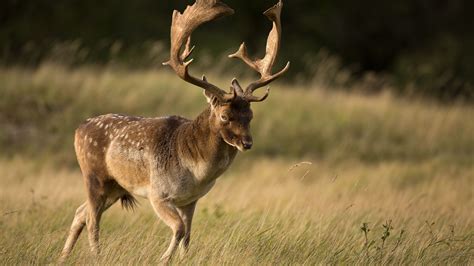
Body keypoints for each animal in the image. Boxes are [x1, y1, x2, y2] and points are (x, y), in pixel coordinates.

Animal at [59, 0, 288, 262]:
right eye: (225, 116)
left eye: (250, 116)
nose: (247, 143)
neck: (196, 171)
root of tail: (78, 128)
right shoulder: (158, 193)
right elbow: (178, 229)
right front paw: (162, 259)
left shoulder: (191, 200)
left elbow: (187, 236)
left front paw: (182, 259)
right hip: (94, 175)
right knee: (92, 219)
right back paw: (97, 256)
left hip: (116, 186)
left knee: (80, 213)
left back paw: (63, 257)